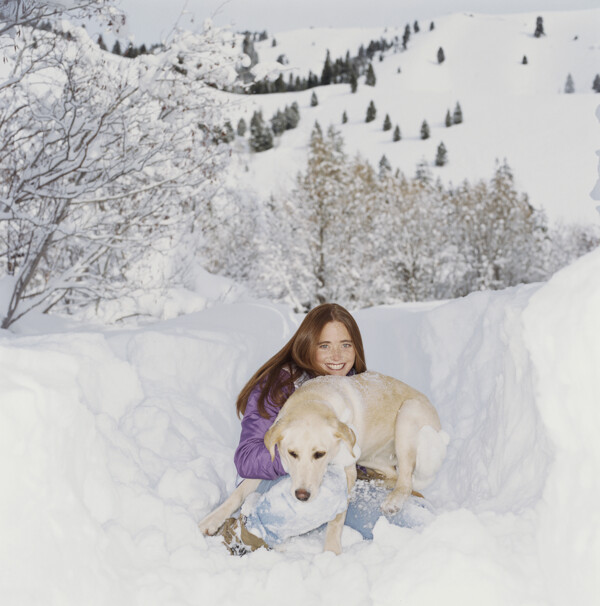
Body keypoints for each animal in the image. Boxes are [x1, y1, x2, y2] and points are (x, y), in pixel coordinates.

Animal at [199, 370, 448, 556]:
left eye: (320, 454)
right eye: (292, 453)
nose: (302, 495)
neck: (313, 399)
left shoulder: (346, 470)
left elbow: (336, 519)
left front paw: (330, 552)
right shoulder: (270, 461)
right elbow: (237, 494)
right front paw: (212, 519)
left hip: (407, 416)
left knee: (405, 478)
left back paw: (393, 500)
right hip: (371, 454)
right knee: (394, 475)